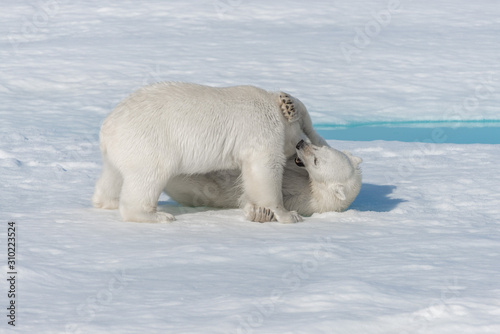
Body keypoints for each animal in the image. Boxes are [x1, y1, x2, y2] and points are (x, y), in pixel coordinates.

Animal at [93, 82, 328, 223]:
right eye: (306, 130)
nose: (302, 146)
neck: (272, 109)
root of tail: (108, 126)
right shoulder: (262, 131)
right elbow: (263, 170)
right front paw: (288, 214)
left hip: (120, 150)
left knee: (113, 175)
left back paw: (107, 201)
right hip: (149, 142)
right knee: (149, 176)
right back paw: (157, 215)